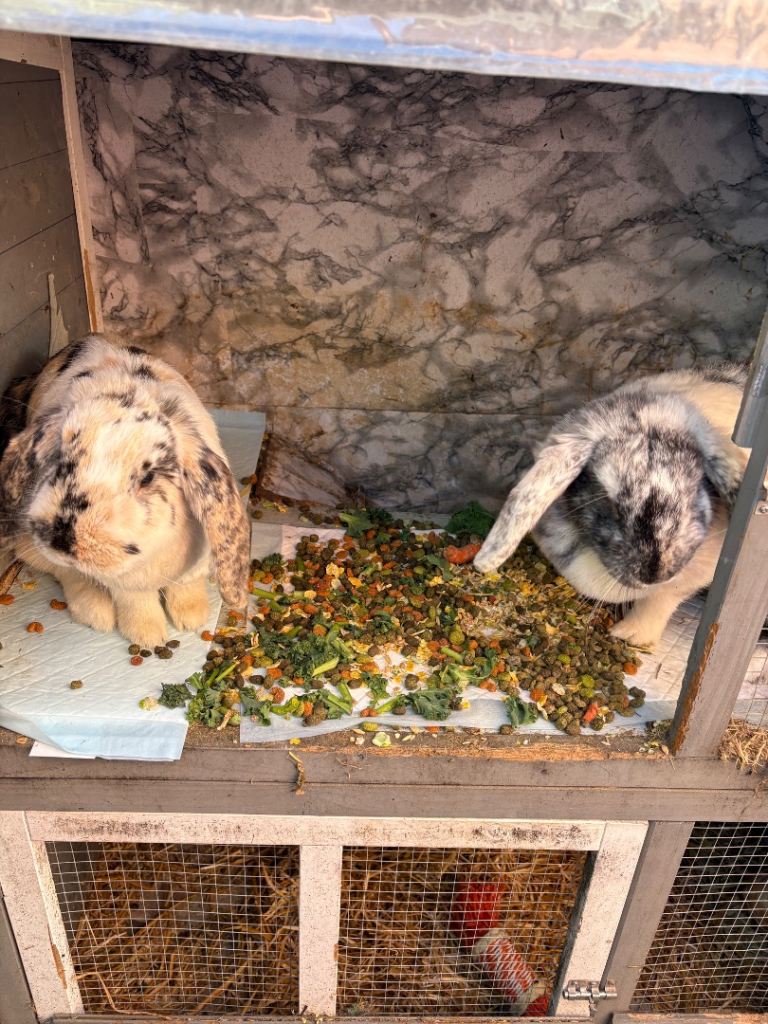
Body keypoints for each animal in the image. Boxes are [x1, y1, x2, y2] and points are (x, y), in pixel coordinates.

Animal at [0, 334, 251, 647]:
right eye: (58, 455)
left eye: (148, 477)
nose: (63, 540)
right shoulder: (126, 584)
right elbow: (136, 602)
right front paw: (148, 636)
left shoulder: (193, 567)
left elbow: (187, 586)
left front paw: (192, 617)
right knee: (68, 575)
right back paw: (96, 613)